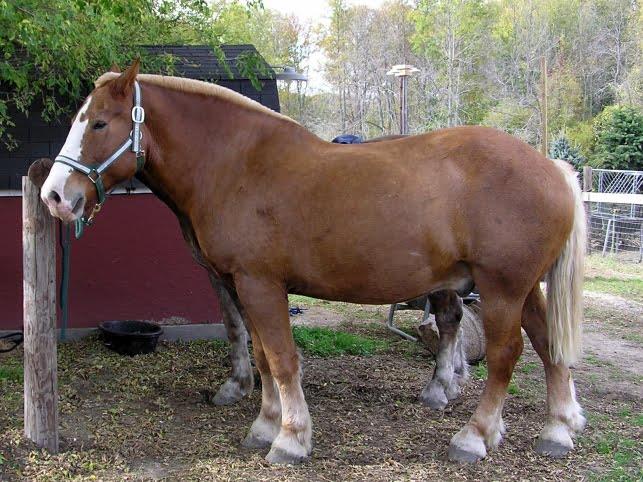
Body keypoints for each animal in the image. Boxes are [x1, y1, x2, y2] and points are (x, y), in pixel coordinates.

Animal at [40, 60, 586, 464]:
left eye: (100, 123)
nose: (55, 196)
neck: (238, 166)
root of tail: (553, 168)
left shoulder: (260, 284)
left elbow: (282, 359)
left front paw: (291, 438)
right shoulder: (241, 285)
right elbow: (262, 356)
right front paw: (264, 425)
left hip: (501, 289)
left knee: (505, 355)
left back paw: (474, 436)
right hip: (524, 290)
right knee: (548, 347)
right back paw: (557, 429)